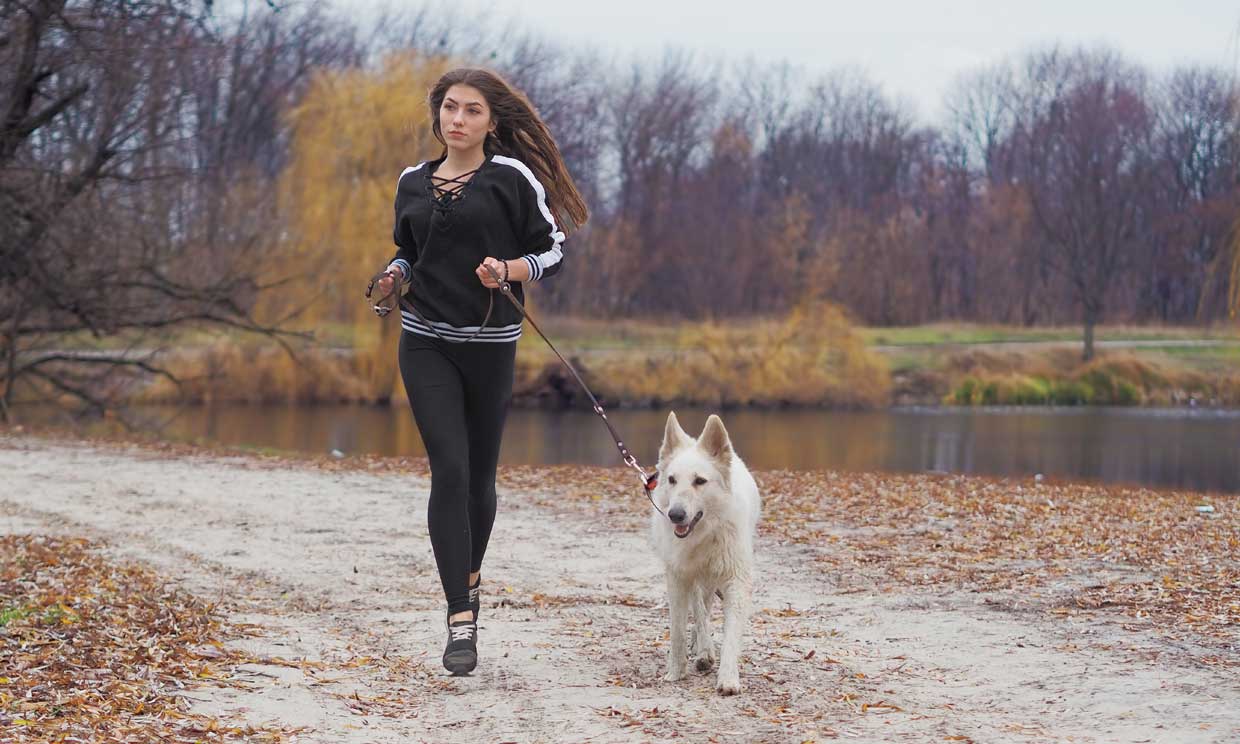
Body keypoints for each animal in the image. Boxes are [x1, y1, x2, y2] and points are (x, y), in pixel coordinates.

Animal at [649, 409, 753, 694]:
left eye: (700, 481)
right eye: (672, 480)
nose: (675, 515)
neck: (705, 533)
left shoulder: (735, 580)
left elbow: (731, 634)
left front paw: (728, 678)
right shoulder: (678, 577)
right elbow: (678, 629)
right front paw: (676, 672)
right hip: (696, 579)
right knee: (699, 612)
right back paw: (703, 650)